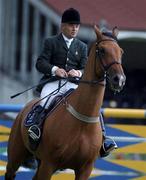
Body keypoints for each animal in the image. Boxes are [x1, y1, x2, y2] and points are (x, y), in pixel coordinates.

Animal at [4, 25, 125, 180]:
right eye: (102, 50)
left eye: (120, 51)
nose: (119, 80)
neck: (82, 122)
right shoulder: (49, 164)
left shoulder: (85, 169)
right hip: (16, 156)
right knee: (11, 171)